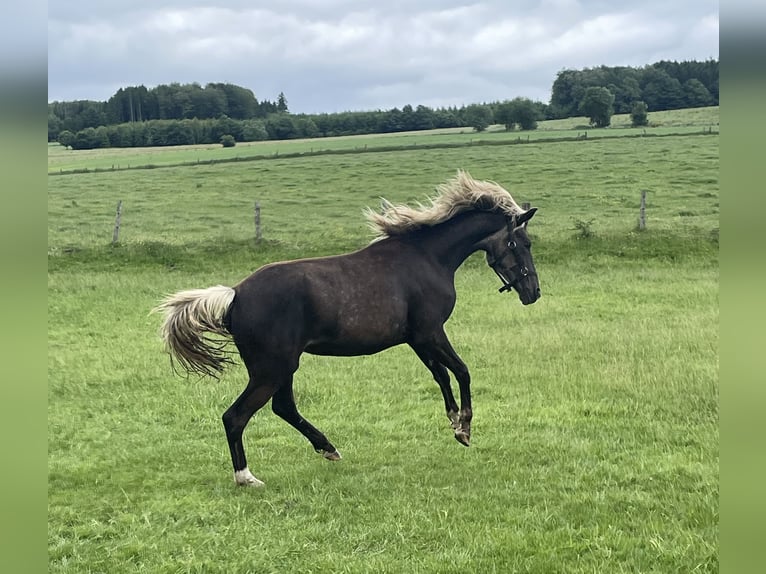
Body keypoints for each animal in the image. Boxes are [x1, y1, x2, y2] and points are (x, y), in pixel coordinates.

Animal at [154, 170, 540, 486]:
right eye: (522, 243)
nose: (533, 292)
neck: (427, 258)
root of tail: (234, 295)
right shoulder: (431, 332)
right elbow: (461, 371)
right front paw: (466, 428)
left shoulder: (416, 339)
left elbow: (441, 375)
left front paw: (454, 422)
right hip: (271, 369)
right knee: (235, 416)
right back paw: (247, 477)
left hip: (283, 367)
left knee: (284, 408)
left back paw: (328, 448)